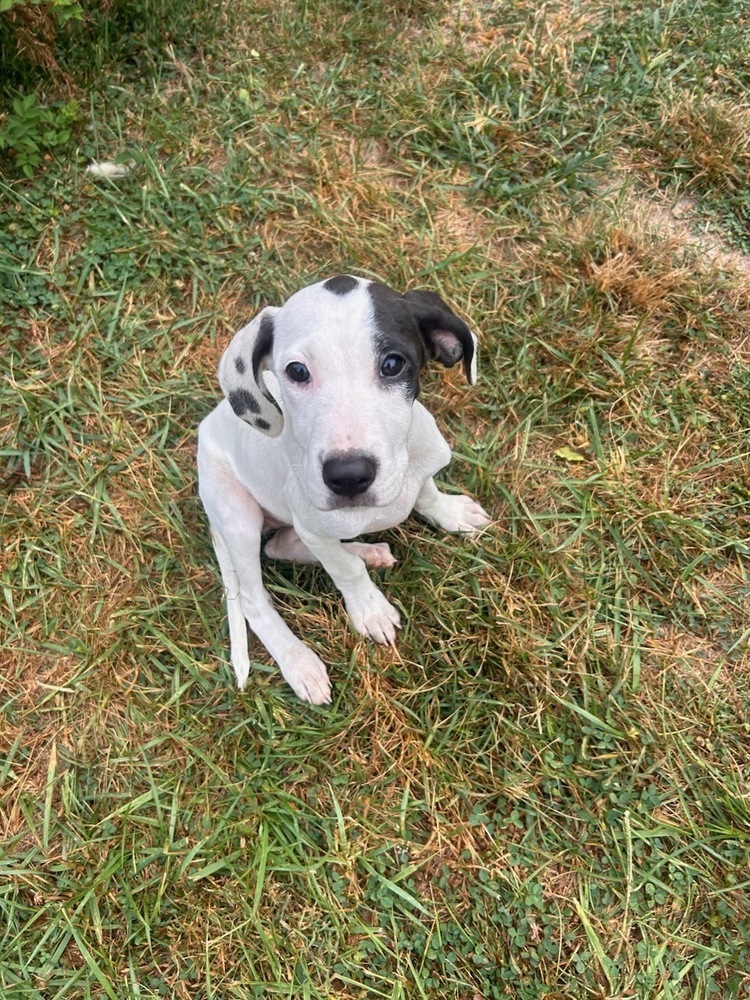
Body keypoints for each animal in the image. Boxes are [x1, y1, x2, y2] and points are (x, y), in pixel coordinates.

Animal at [198, 274, 494, 704]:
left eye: (392, 364)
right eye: (296, 371)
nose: (349, 476)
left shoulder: (419, 467)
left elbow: (426, 493)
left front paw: (451, 512)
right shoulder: (312, 523)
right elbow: (344, 569)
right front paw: (370, 610)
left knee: (281, 546)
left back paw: (370, 551)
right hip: (236, 513)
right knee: (255, 599)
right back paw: (300, 664)